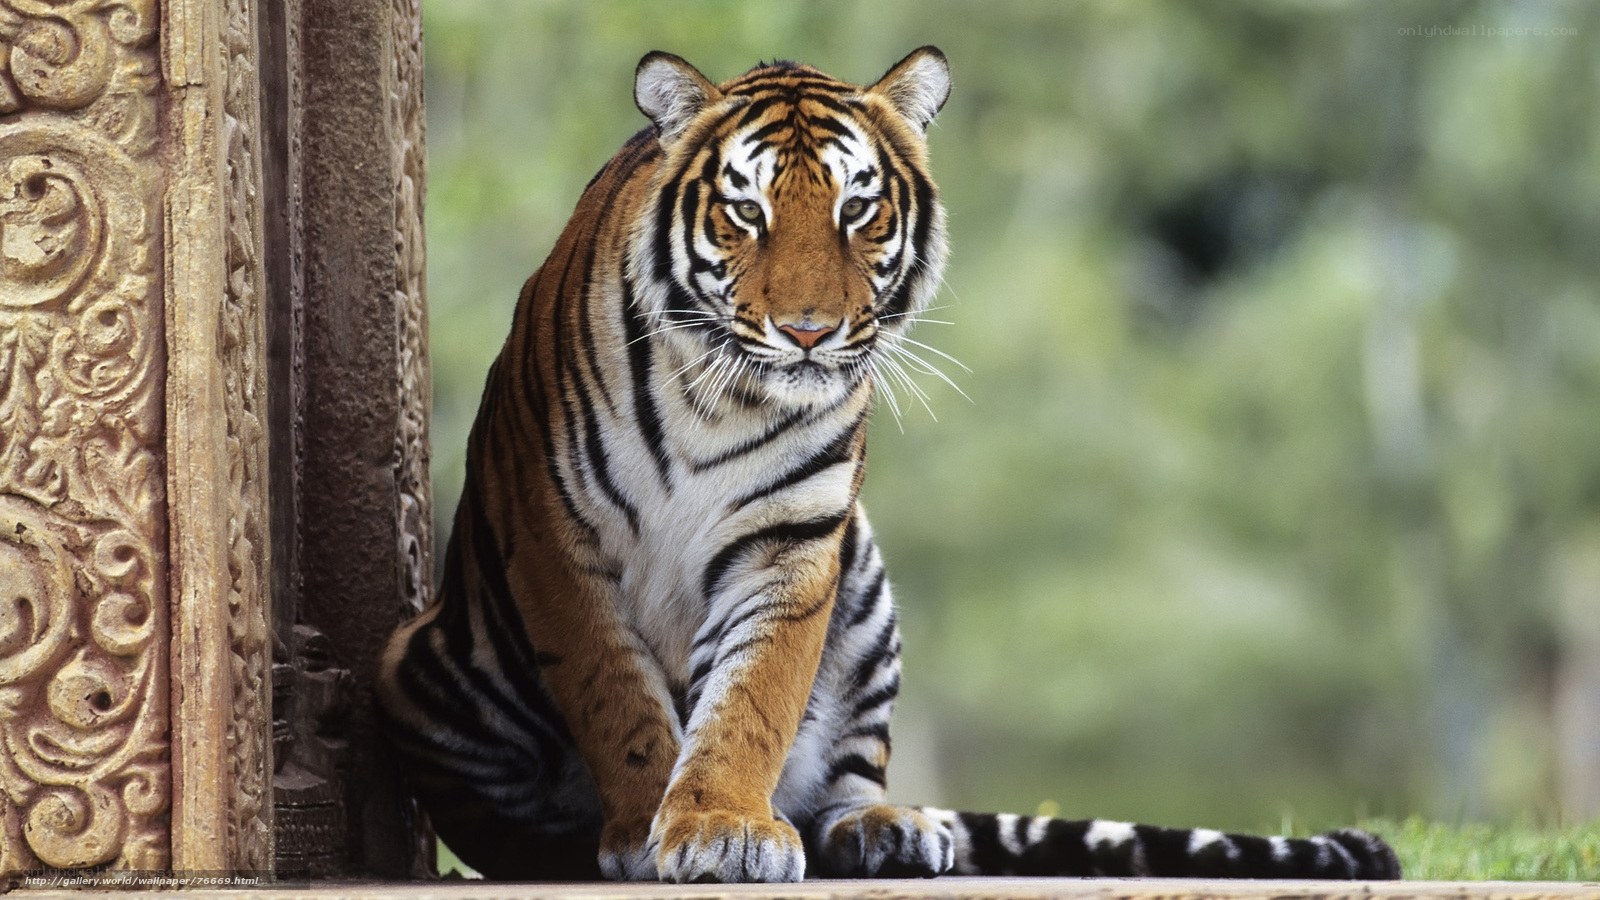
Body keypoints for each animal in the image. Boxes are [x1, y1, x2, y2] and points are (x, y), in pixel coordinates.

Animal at [375, 48, 1401, 883]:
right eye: (745, 211)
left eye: (857, 209)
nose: (808, 331)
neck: (719, 398)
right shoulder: (558, 540)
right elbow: (616, 699)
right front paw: (645, 829)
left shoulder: (794, 544)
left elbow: (751, 699)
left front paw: (718, 825)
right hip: (419, 666)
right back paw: (561, 847)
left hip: (863, 583)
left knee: (845, 777)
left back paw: (884, 830)